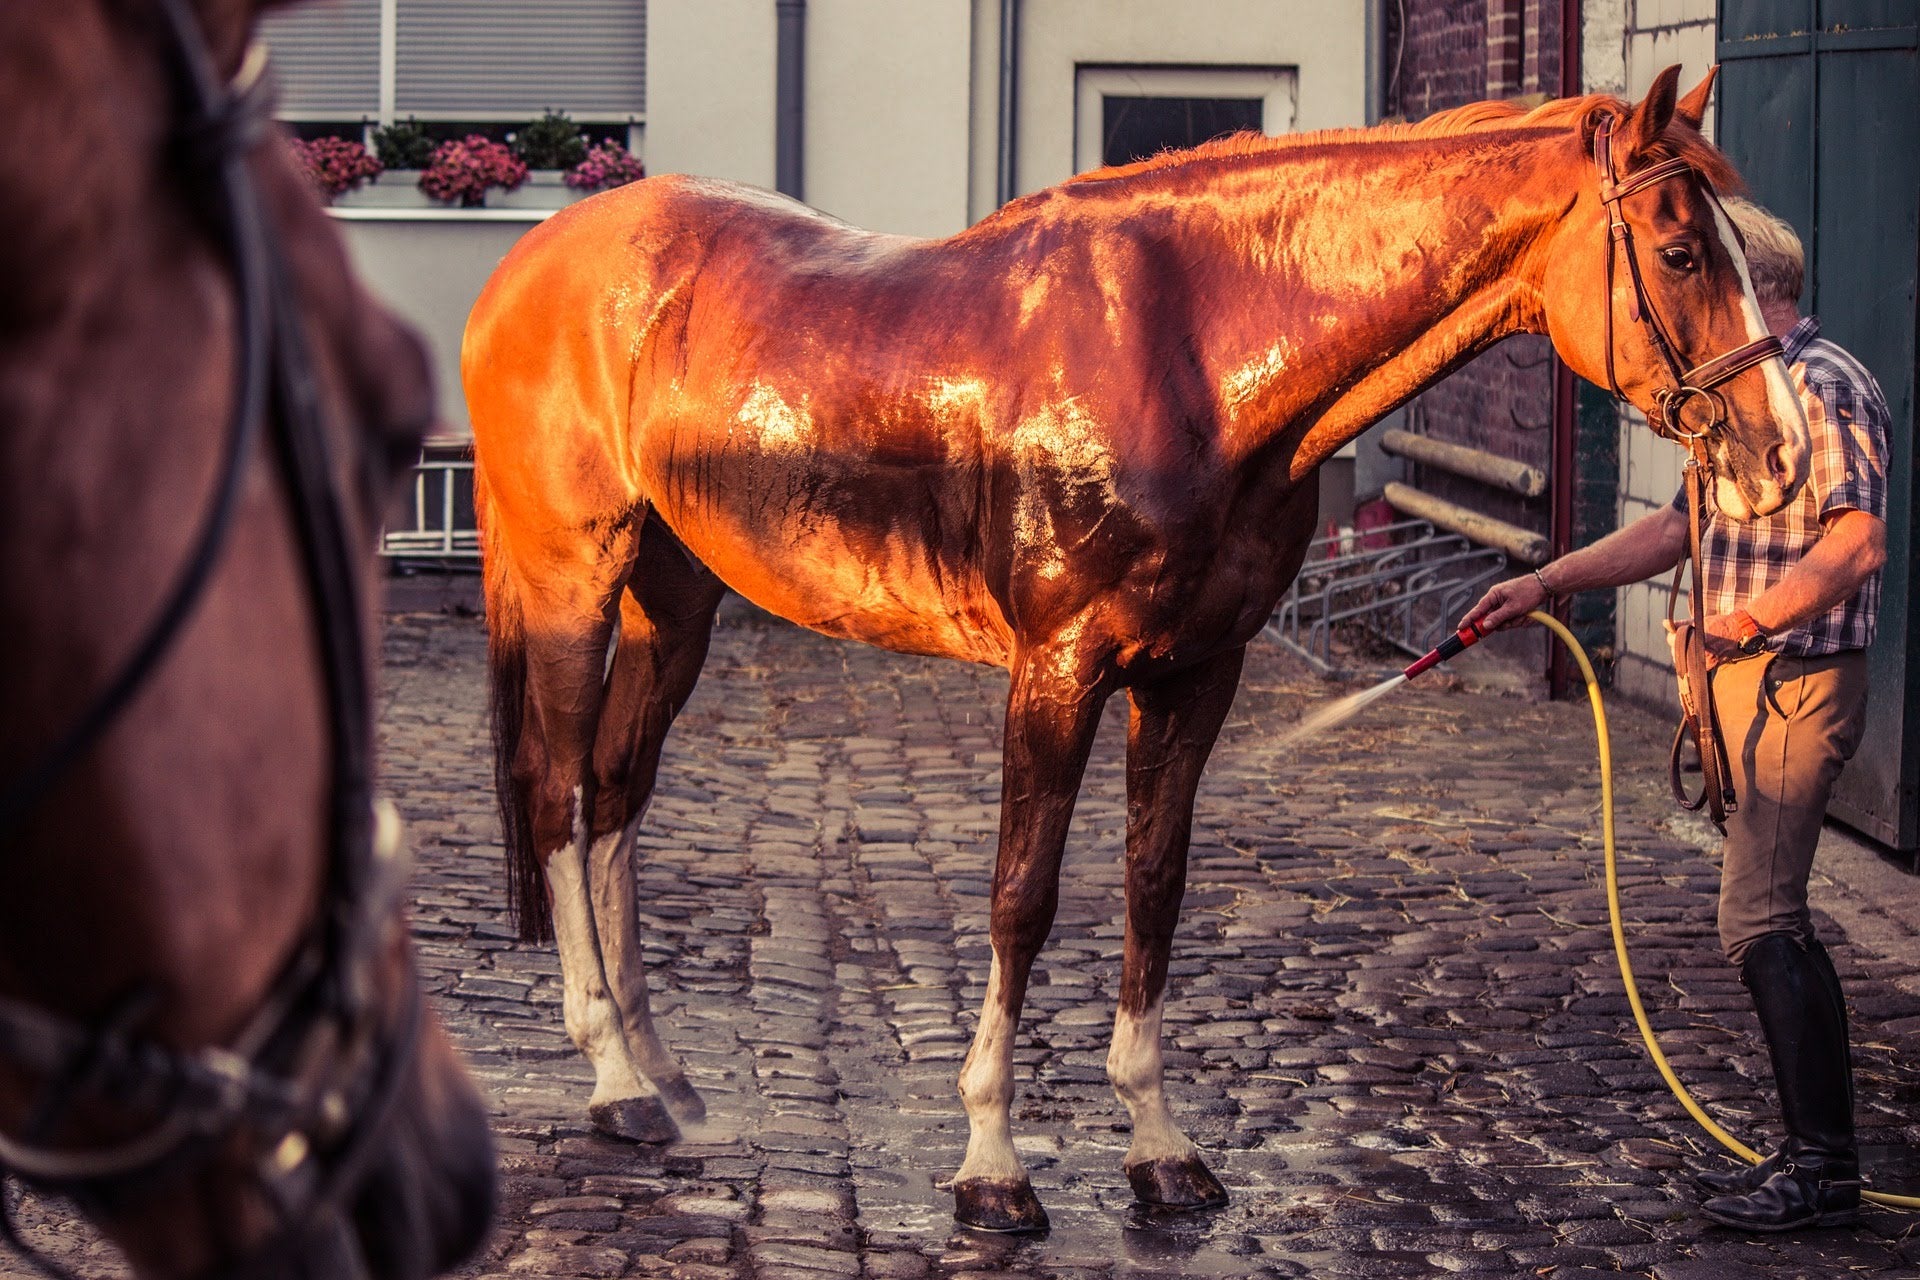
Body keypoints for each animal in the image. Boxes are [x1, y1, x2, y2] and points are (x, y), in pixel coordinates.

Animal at [468, 70, 1812, 1228]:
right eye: (1683, 251)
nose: (1782, 455)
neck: (1190, 356)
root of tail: (529, 264)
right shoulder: (1057, 671)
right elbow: (1022, 896)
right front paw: (992, 1163)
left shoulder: (1192, 674)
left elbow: (1153, 886)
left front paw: (1161, 1151)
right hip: (572, 587)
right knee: (557, 794)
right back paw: (613, 1075)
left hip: (674, 601)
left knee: (615, 795)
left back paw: (660, 1071)